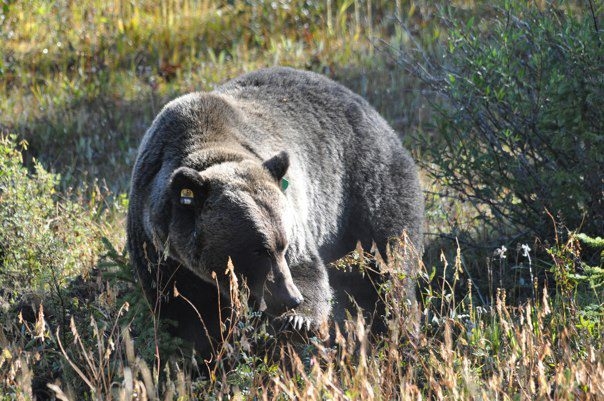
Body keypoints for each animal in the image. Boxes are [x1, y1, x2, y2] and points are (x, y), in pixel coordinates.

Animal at [125, 66, 422, 356]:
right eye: (257, 249)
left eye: (283, 246)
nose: (291, 297)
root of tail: (370, 108)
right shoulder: (159, 251)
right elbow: (182, 311)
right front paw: (197, 350)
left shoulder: (292, 211)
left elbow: (307, 266)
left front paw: (300, 319)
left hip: (368, 185)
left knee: (391, 257)